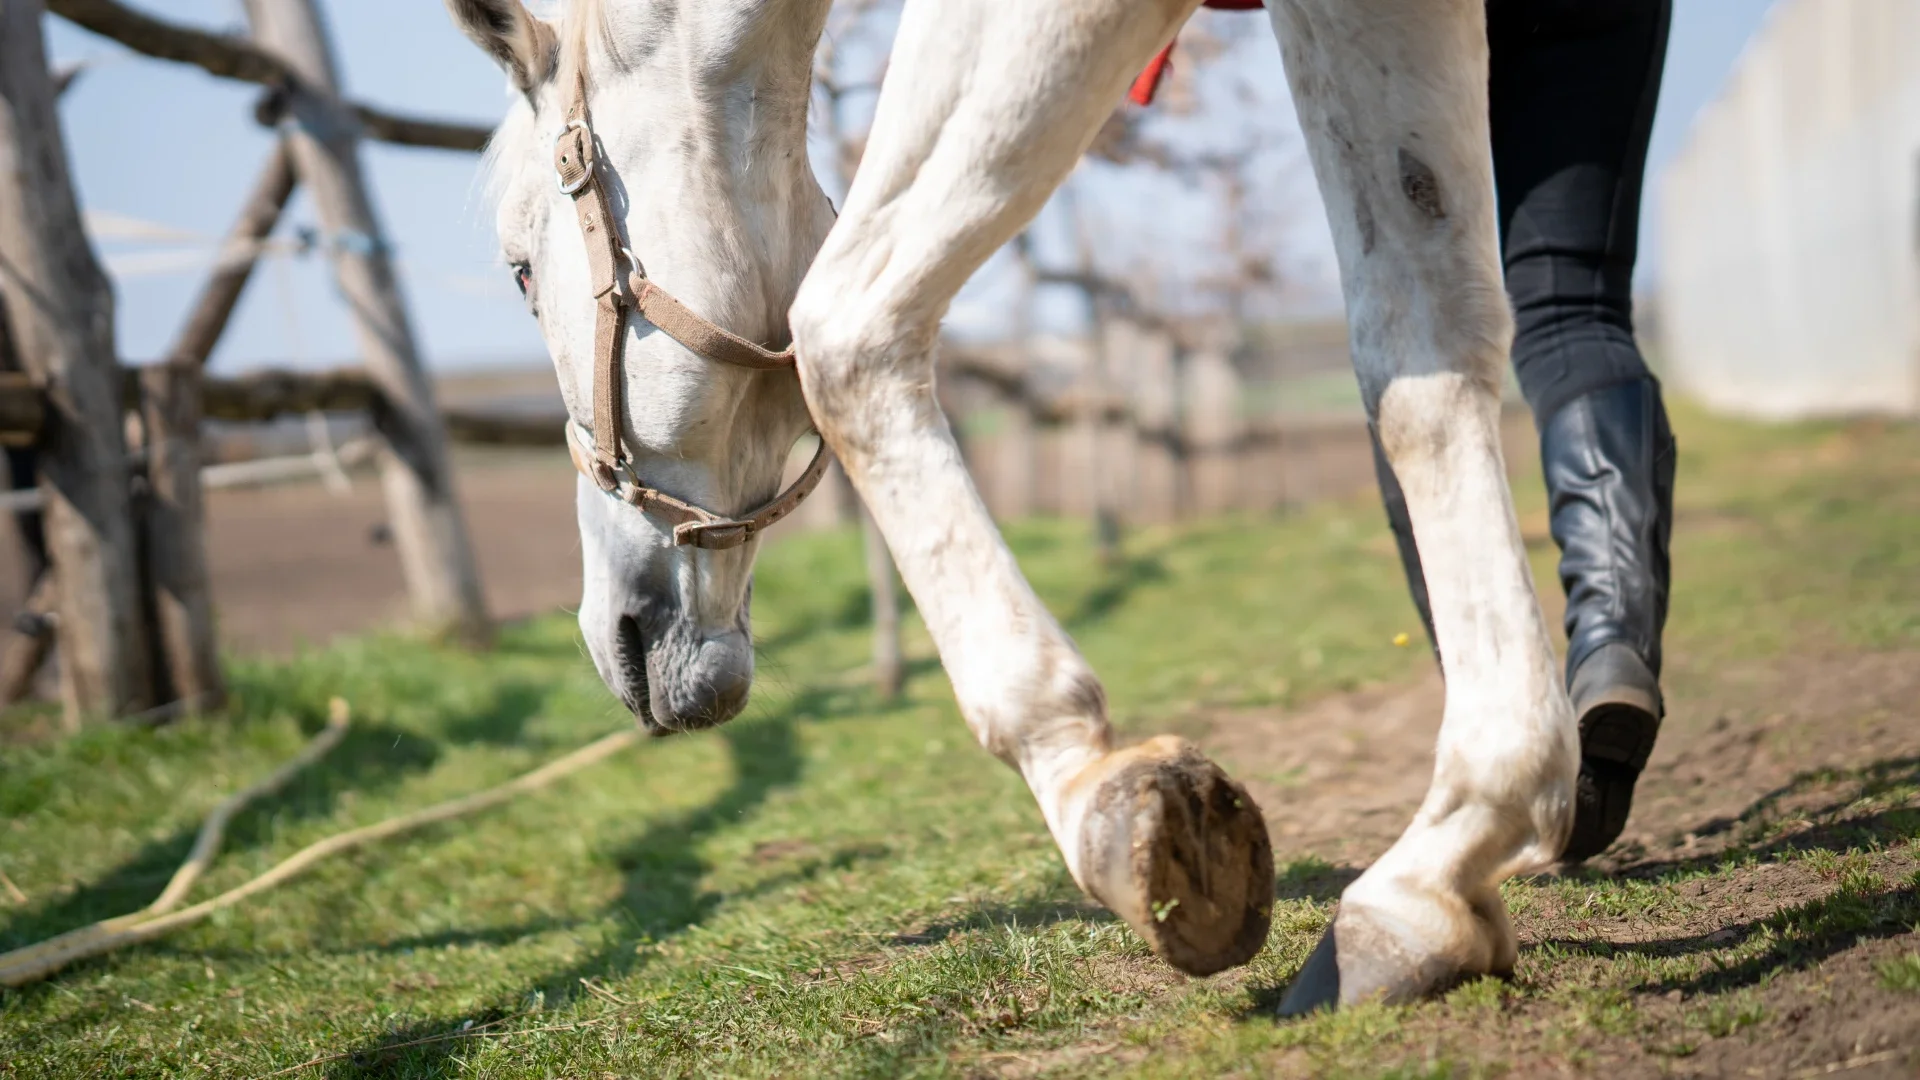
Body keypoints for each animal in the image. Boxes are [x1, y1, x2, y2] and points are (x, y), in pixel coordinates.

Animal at [445, 0, 1573, 1013]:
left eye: (520, 272)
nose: (611, 634)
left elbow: (844, 325)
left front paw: (1090, 784)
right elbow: (1420, 342)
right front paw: (1447, 865)